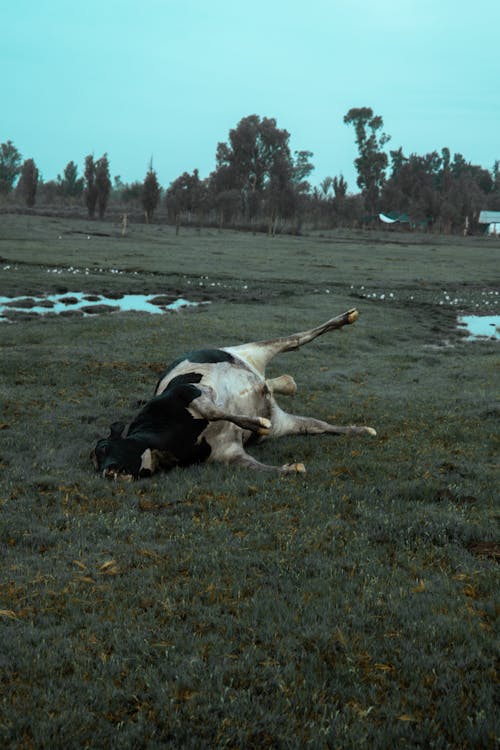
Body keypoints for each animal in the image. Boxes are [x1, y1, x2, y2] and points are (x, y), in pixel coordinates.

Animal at [93, 306, 376, 478]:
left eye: (104, 448)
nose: (109, 472)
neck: (175, 438)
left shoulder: (190, 390)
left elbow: (214, 412)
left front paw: (257, 424)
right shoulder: (228, 454)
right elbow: (261, 468)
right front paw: (292, 467)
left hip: (254, 348)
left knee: (296, 339)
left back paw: (346, 317)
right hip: (283, 421)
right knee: (316, 425)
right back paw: (361, 429)